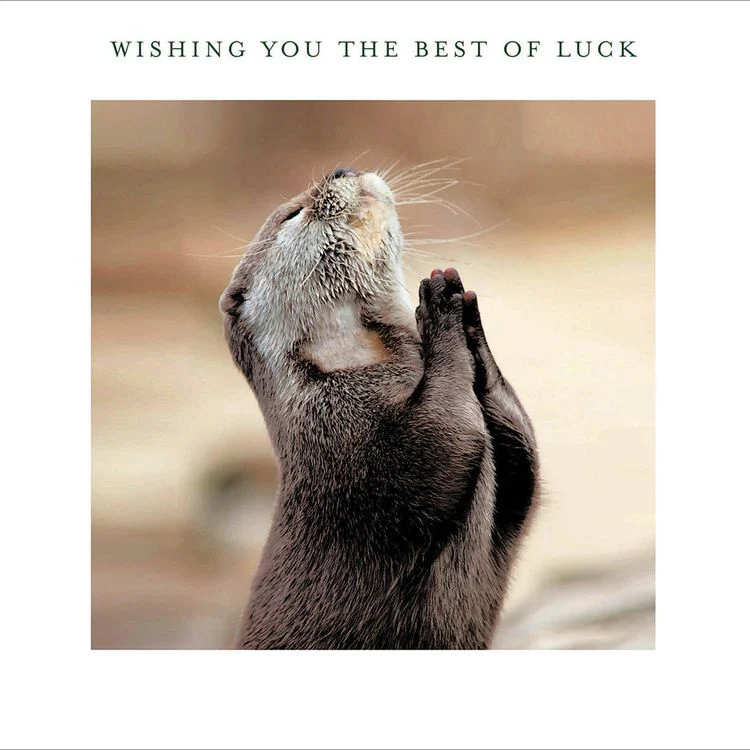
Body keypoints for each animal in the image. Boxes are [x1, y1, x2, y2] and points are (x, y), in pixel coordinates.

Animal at [219, 166, 539, 649]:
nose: (340, 170)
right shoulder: (345, 433)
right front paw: (439, 310)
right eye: (293, 213)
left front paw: (469, 323)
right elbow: (445, 436)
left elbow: (524, 463)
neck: (348, 369)